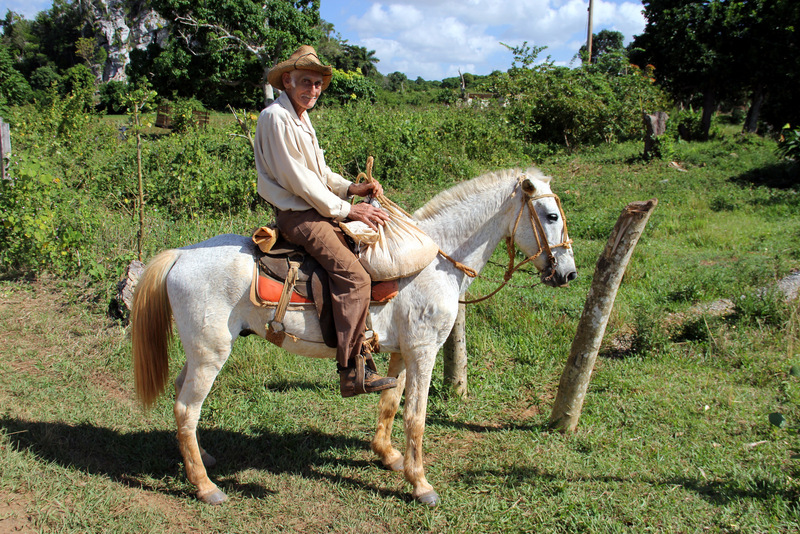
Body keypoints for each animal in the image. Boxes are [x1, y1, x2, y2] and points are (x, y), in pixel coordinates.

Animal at [131, 166, 577, 506]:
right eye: (551, 216)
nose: (569, 273)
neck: (434, 263)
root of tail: (181, 256)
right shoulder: (424, 351)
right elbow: (416, 418)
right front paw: (421, 484)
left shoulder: (401, 352)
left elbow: (390, 403)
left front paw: (388, 456)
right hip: (211, 354)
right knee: (187, 408)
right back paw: (206, 487)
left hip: (198, 353)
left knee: (181, 398)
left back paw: (200, 458)